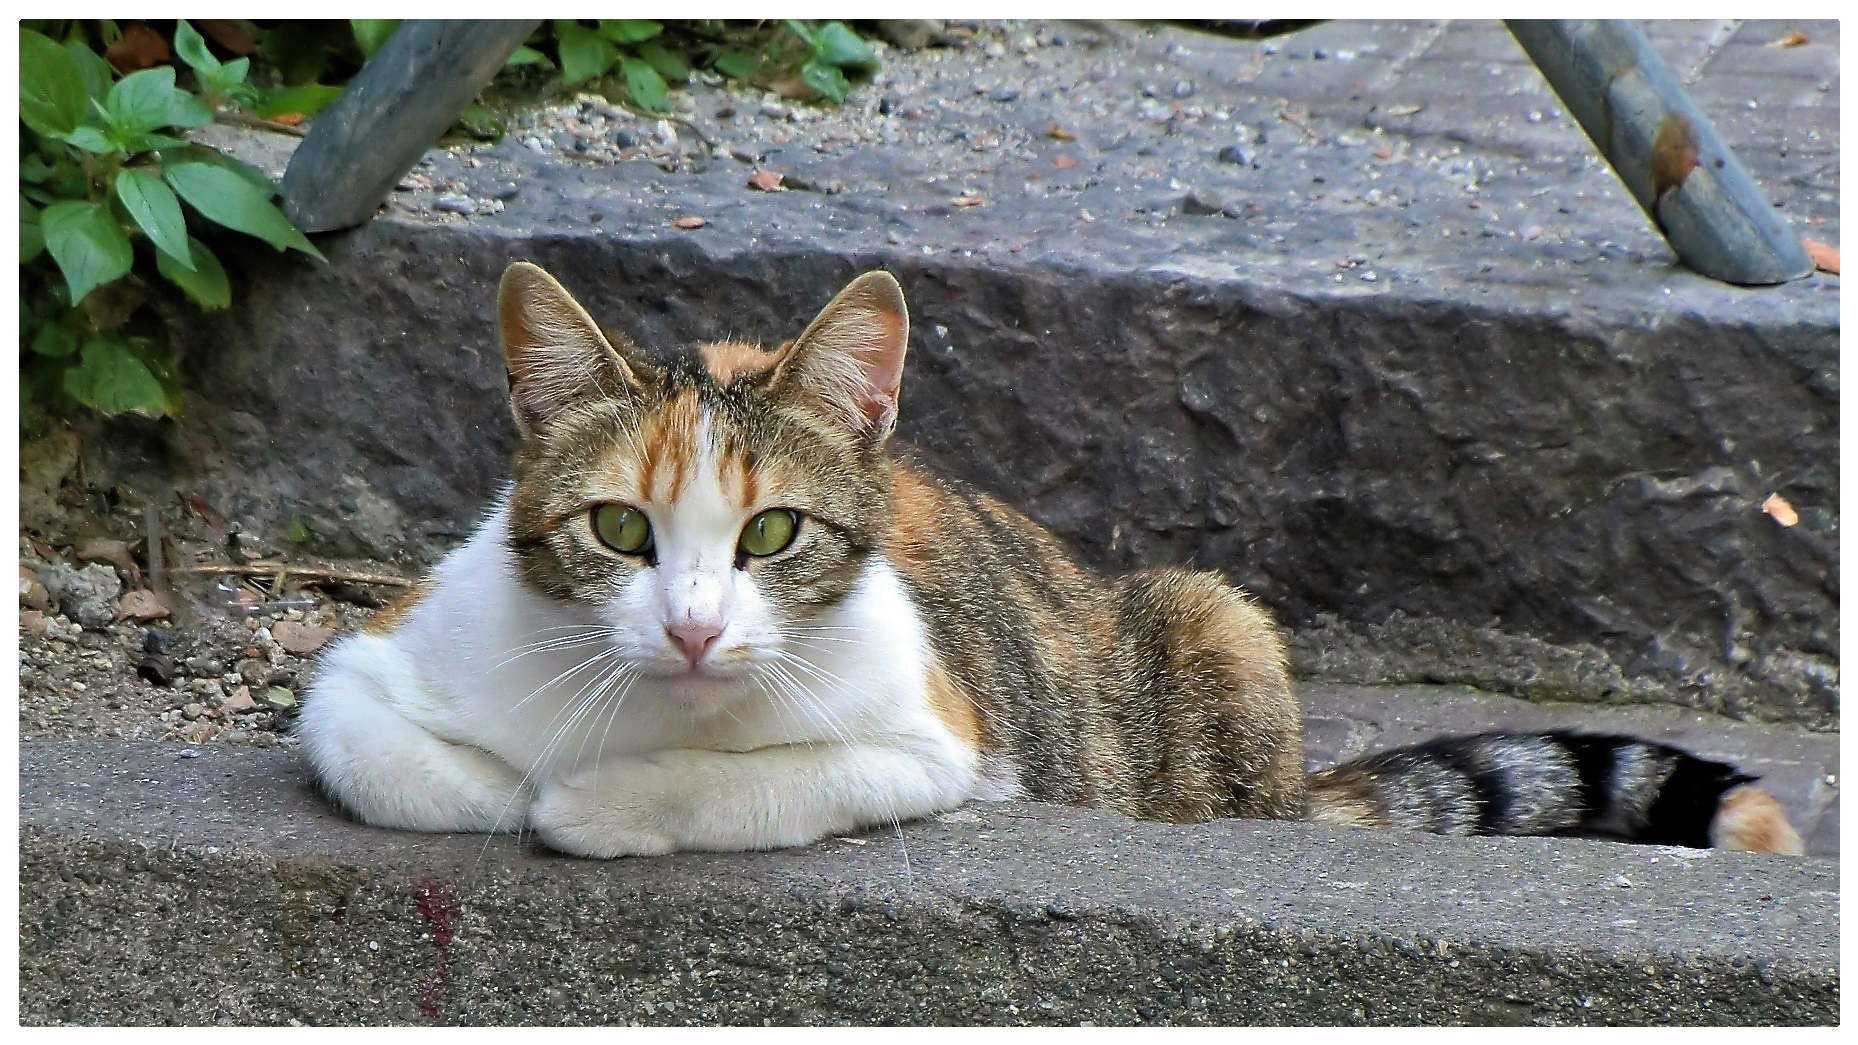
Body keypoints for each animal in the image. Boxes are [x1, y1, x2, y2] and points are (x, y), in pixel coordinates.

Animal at [297, 264, 1805, 859]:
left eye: (771, 532)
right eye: (620, 529)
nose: (689, 628)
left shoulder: (942, 744)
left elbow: (759, 787)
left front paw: (599, 805)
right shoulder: (359, 671)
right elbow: (407, 768)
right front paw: (517, 784)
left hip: (1213, 622)